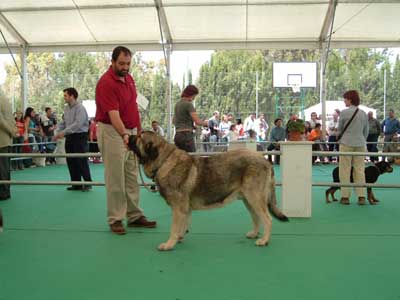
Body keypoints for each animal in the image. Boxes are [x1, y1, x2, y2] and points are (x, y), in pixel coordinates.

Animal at [130, 131, 290, 251]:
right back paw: (254, 234)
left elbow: (174, 228)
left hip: (254, 197)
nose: (128, 136)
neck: (164, 161)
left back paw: (264, 241)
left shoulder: (178, 208)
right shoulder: (184, 209)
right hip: (248, 199)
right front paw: (180, 237)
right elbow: (183, 224)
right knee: (256, 217)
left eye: (139, 137)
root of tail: (265, 161)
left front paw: (169, 244)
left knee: (267, 219)